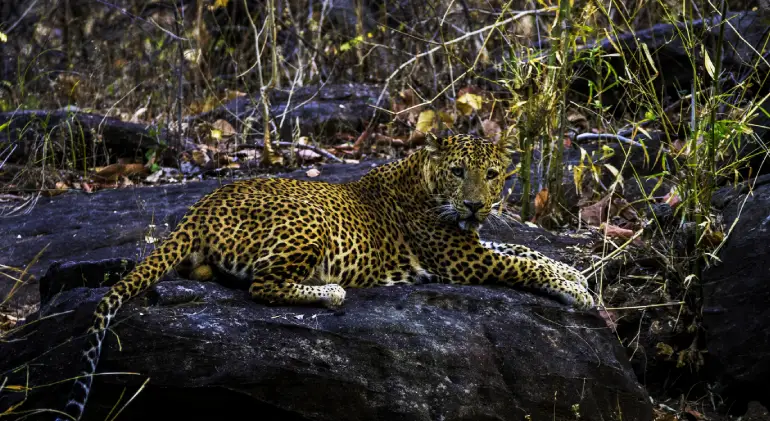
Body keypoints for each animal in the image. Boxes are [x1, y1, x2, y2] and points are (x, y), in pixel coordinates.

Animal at [54, 134, 592, 420]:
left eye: (494, 173)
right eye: (459, 172)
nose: (479, 205)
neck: (425, 180)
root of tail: (201, 205)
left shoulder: (472, 246)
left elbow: (524, 248)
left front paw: (576, 274)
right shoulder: (461, 259)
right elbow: (522, 262)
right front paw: (577, 292)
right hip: (308, 225)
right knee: (263, 286)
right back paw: (330, 291)